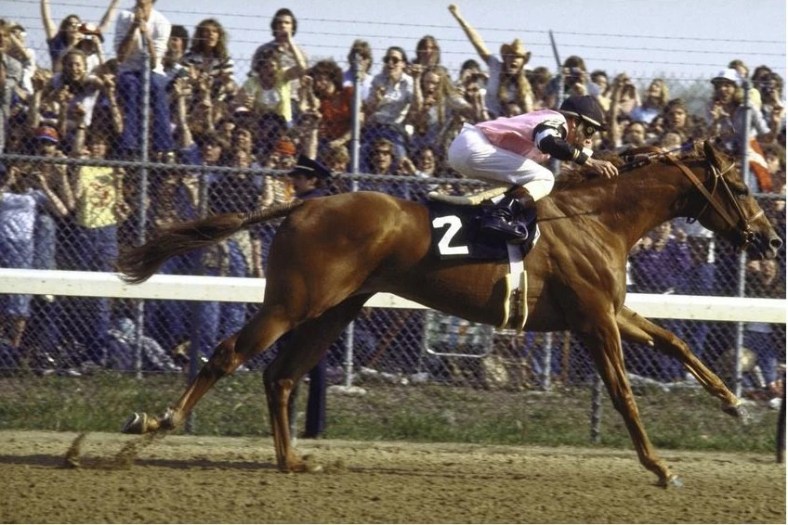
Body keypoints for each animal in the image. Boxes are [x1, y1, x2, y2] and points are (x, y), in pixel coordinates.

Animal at [118, 140, 780, 488]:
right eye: (742, 187)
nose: (771, 240)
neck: (597, 218)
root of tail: (302, 205)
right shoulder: (593, 321)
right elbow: (624, 394)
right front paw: (661, 467)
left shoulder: (607, 312)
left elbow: (674, 341)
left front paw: (733, 402)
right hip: (293, 302)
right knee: (230, 355)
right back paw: (153, 425)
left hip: (336, 310)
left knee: (281, 376)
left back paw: (292, 459)